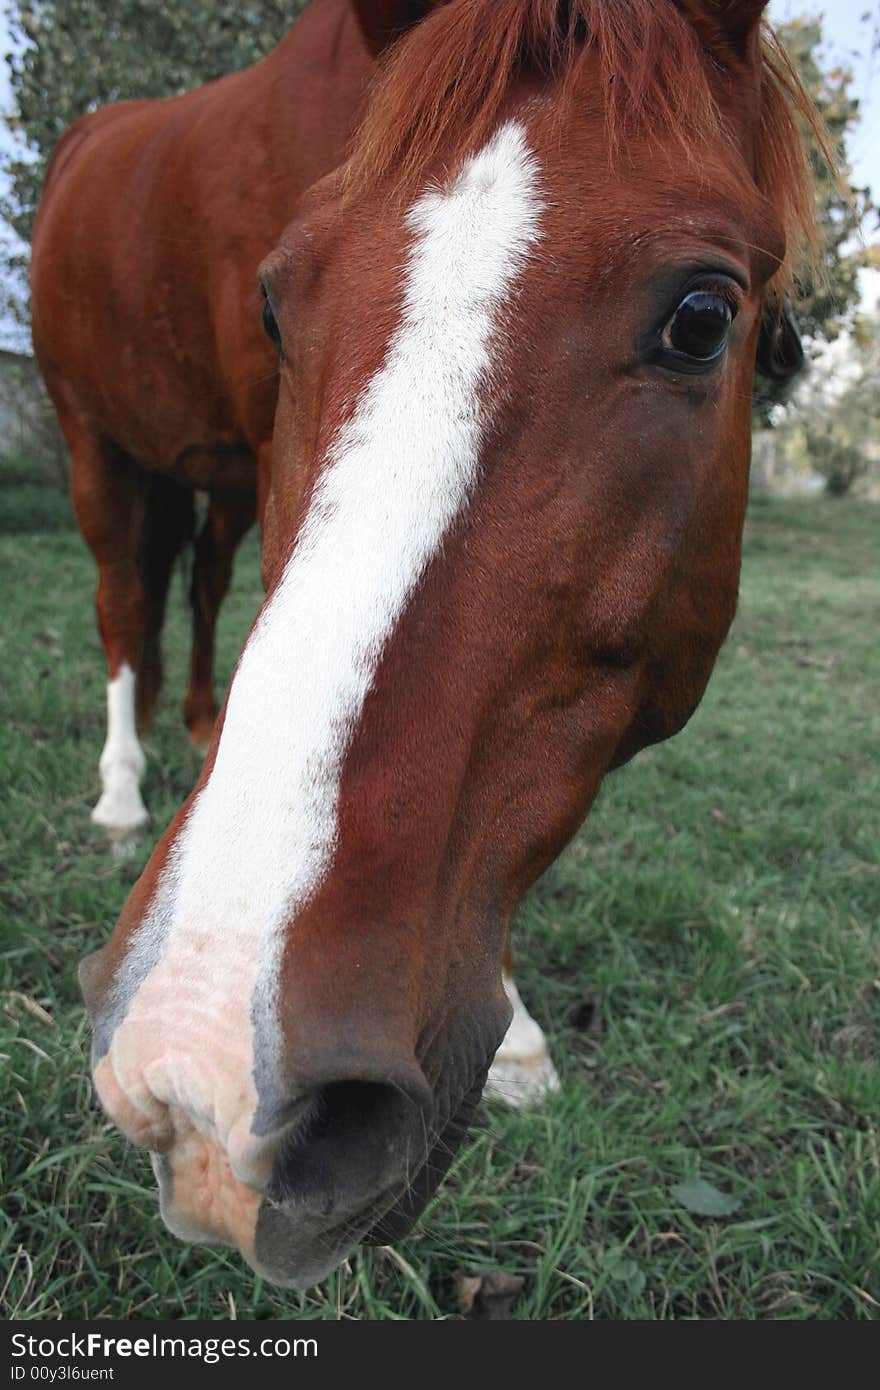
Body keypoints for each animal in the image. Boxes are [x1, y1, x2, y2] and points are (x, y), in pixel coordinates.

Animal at [73, 2, 817, 1289]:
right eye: (276, 304)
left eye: (701, 319)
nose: (198, 1069)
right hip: (93, 439)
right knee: (125, 602)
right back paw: (121, 789)